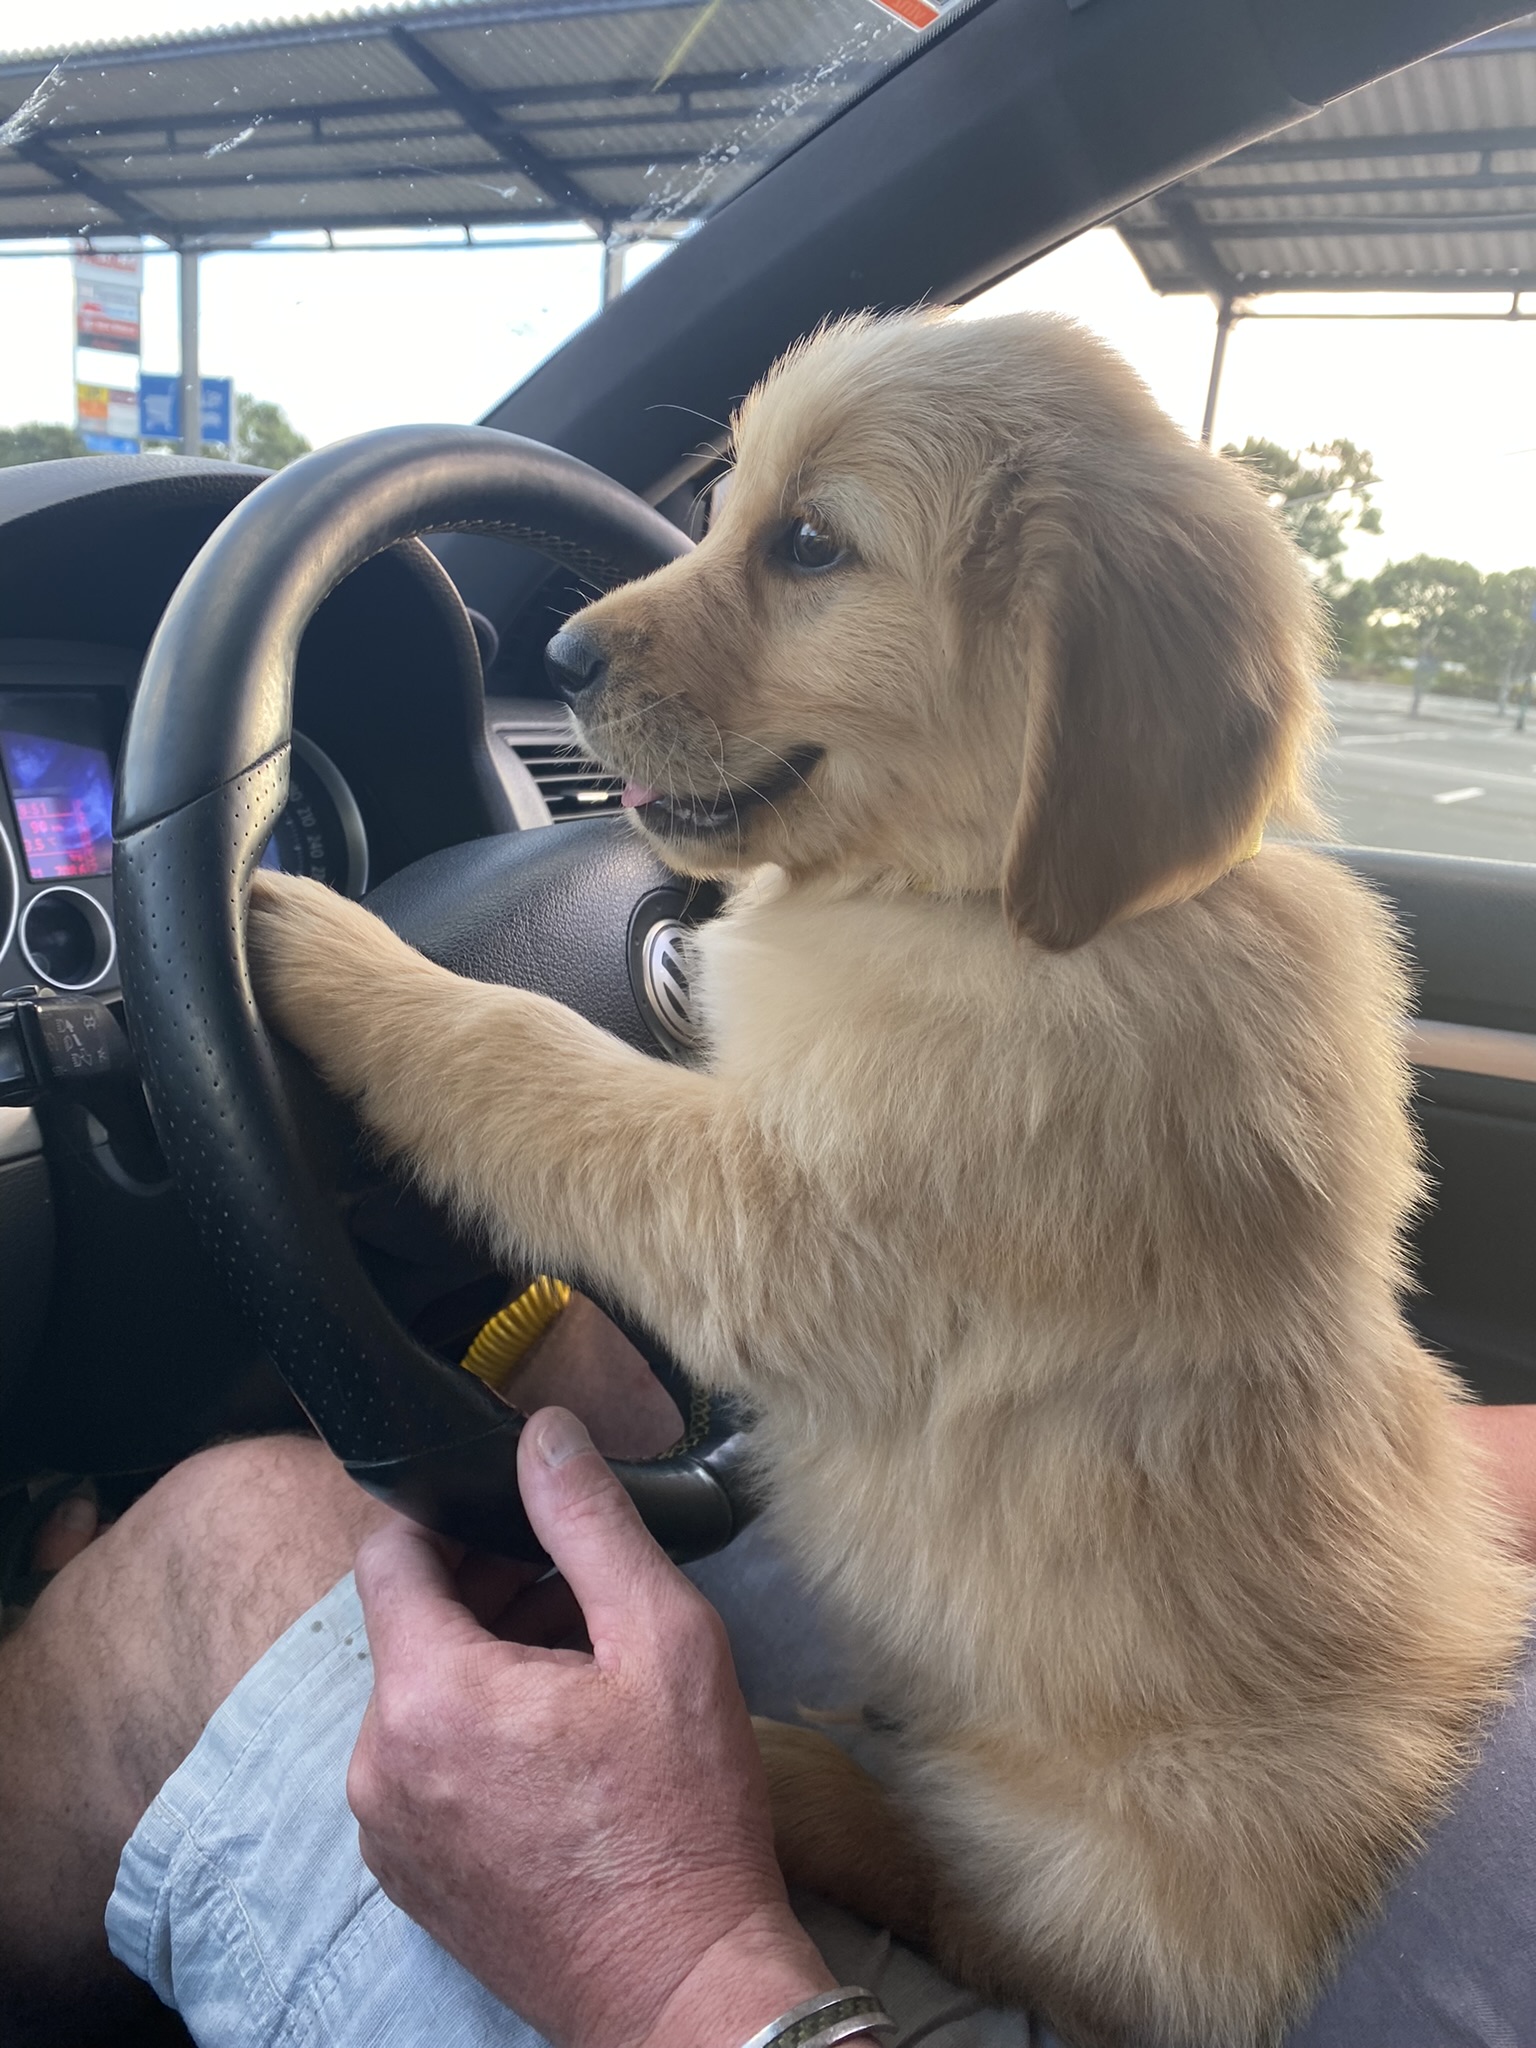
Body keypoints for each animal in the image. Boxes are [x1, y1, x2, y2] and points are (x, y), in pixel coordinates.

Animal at [246, 307, 1531, 2048]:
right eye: (725, 507)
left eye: (809, 544)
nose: (561, 656)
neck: (1010, 904)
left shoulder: (774, 1215)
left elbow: (532, 1054)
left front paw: (334, 949)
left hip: (1099, 1870)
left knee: (976, 1902)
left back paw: (791, 1772)